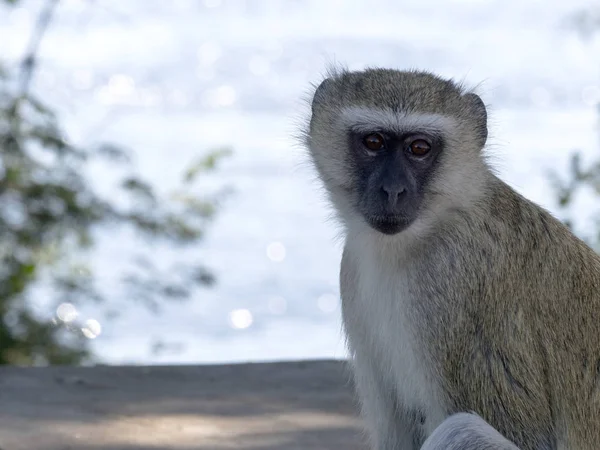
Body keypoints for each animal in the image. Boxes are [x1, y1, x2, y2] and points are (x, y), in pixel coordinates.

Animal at [304, 67, 600, 450]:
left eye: (419, 148)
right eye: (373, 141)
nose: (393, 190)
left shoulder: (457, 282)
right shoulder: (352, 272)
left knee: (461, 431)